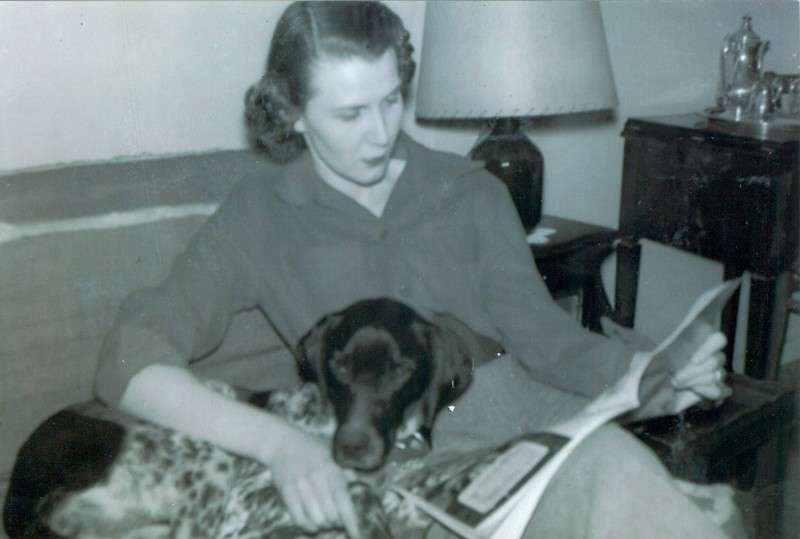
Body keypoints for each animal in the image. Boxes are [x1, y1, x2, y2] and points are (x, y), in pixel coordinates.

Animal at [3, 298, 503, 538]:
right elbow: (364, 500)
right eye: (338, 367)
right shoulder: (240, 509)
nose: (351, 449)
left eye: (400, 371)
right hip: (206, 461)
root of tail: (18, 495)